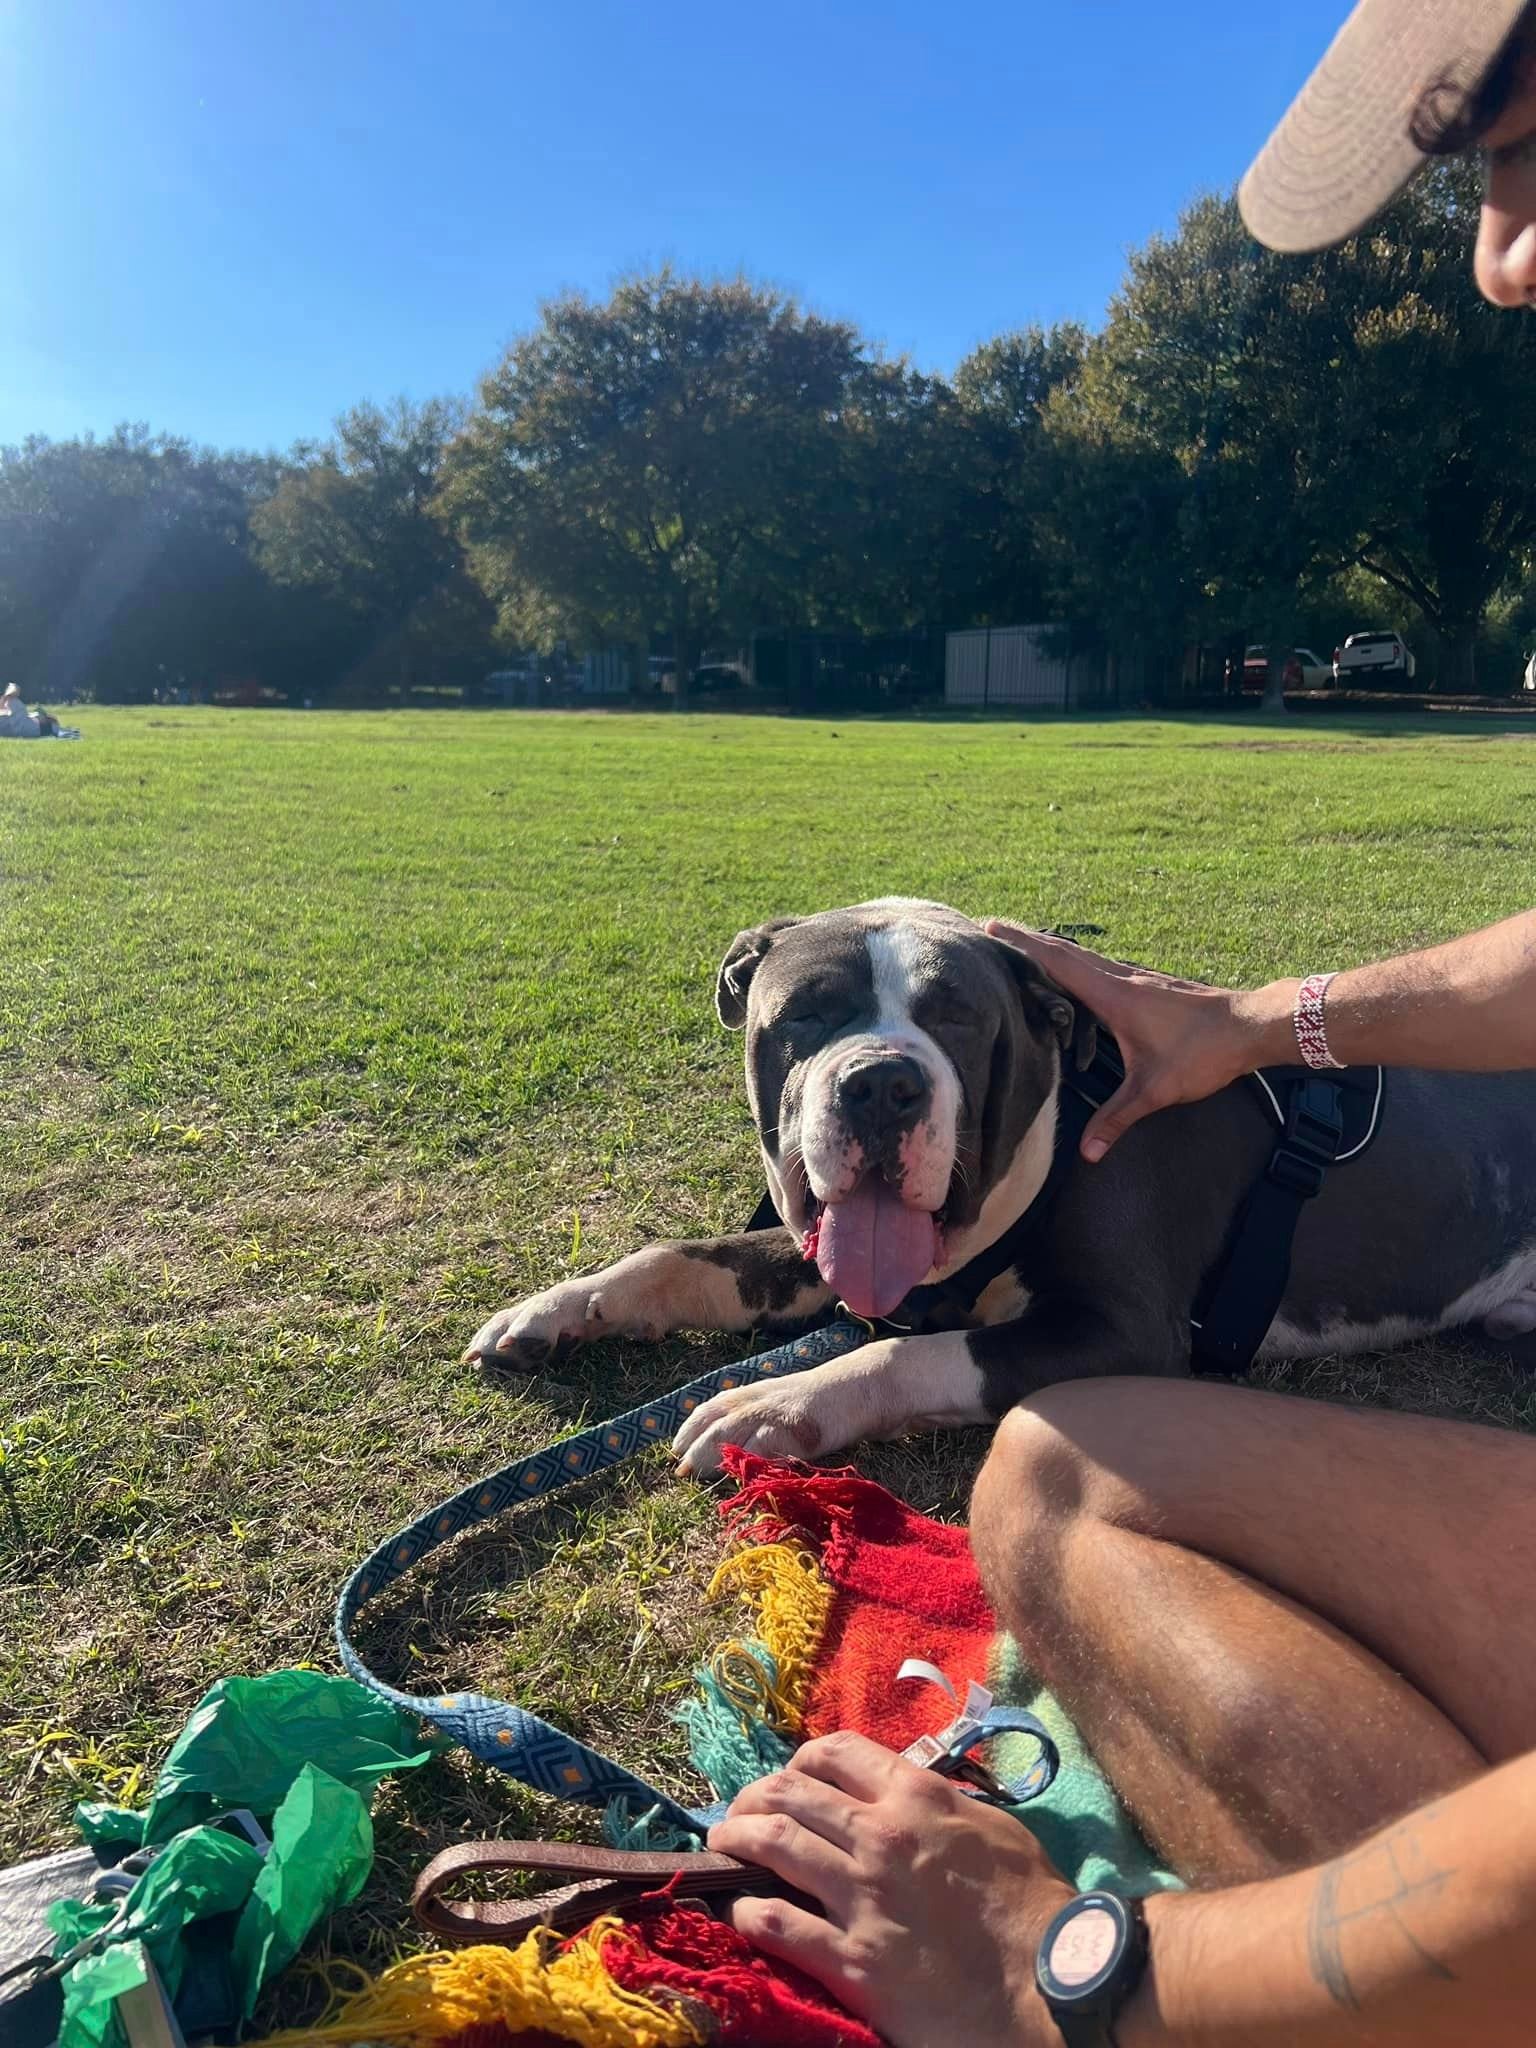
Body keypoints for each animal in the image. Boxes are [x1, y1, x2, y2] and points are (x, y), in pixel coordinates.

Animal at [466, 897, 1536, 1474]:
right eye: (804, 1014)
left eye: (961, 1018)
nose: (882, 1083)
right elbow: (677, 1259)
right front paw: (556, 1310)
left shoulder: (1124, 1334)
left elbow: (908, 1354)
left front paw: (776, 1404)